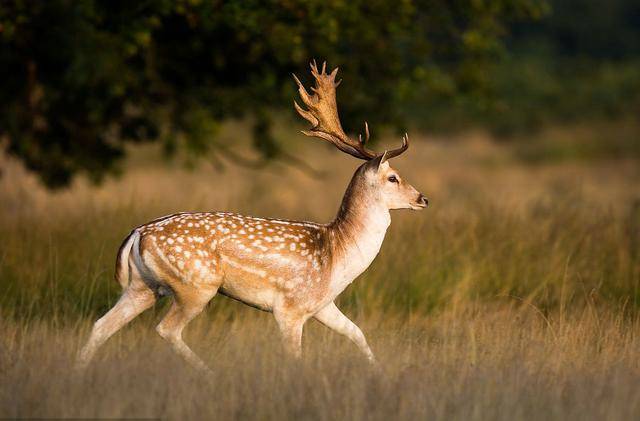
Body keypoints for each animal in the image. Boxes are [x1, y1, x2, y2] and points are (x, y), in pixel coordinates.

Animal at [77, 61, 428, 370]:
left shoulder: (323, 305)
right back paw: (207, 373)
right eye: (393, 177)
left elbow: (358, 334)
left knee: (100, 325)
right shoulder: (290, 307)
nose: (423, 199)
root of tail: (137, 234)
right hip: (195, 285)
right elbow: (296, 357)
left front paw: (378, 373)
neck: (337, 253)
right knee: (166, 329)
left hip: (142, 287)